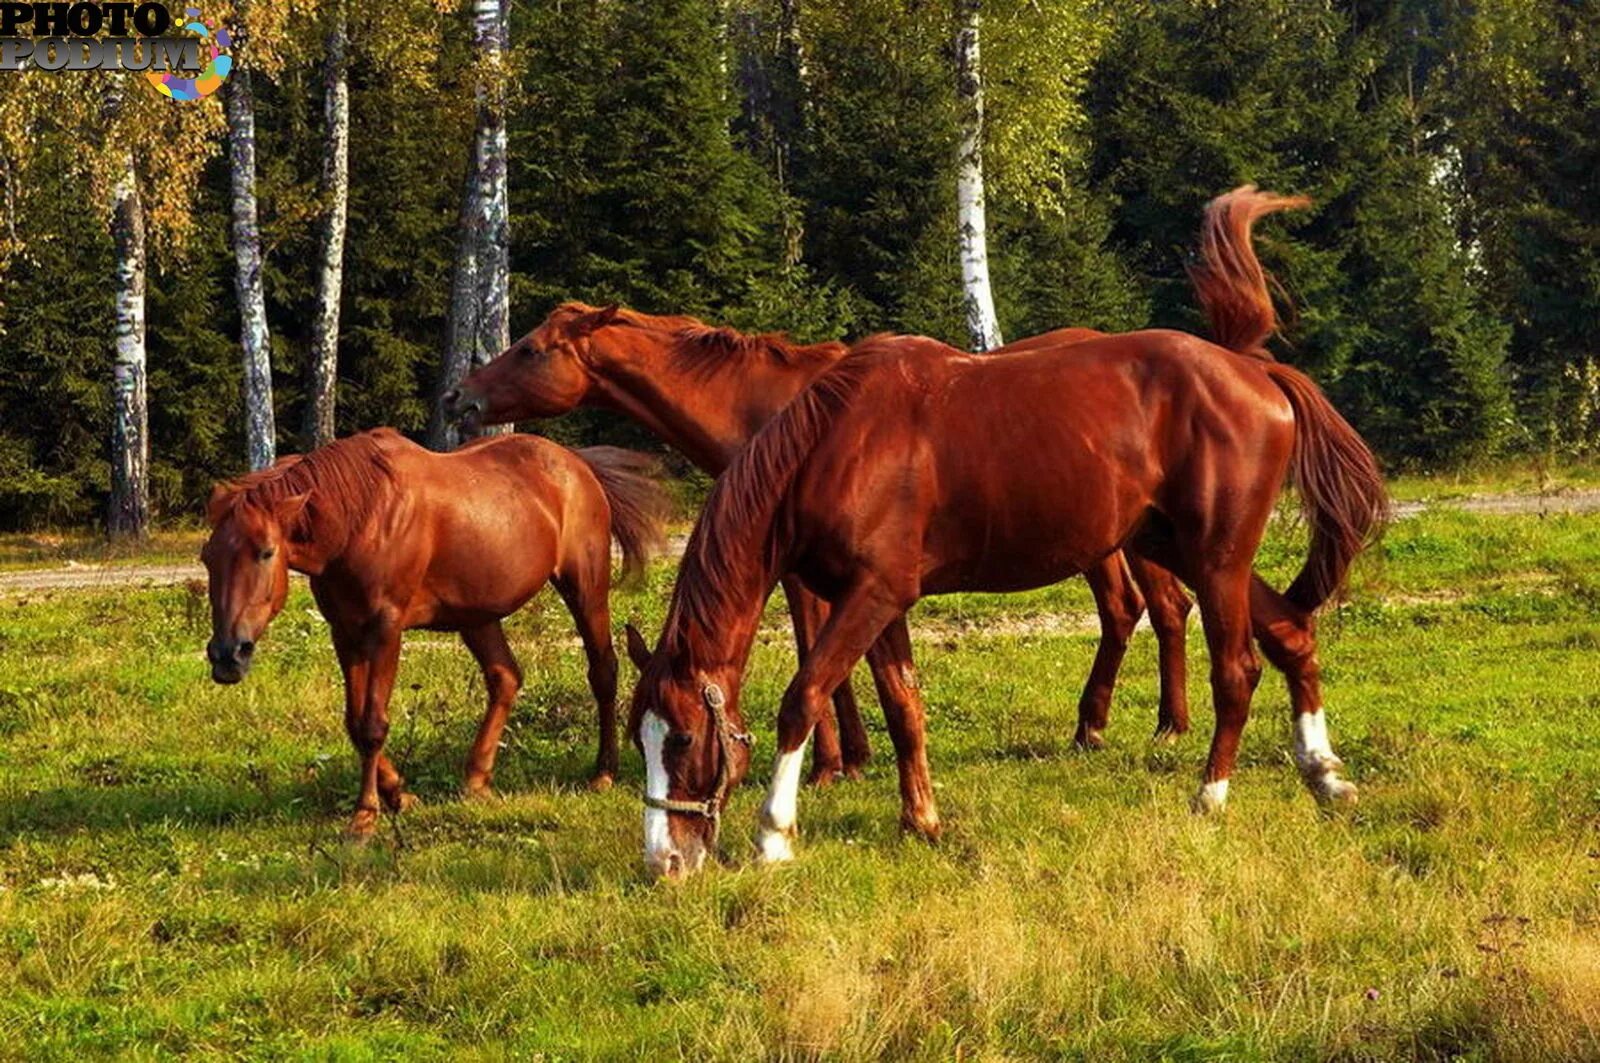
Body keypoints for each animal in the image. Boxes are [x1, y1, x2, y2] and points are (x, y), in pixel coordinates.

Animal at [201, 429, 668, 832]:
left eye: (266, 552)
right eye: (207, 557)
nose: (227, 655)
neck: (361, 518)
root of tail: (577, 465)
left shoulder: (385, 630)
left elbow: (371, 724)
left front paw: (365, 815)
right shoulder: (345, 632)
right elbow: (354, 722)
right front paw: (398, 795)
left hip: (584, 587)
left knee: (603, 671)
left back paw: (603, 773)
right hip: (477, 615)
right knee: (505, 678)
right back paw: (477, 779)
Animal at [441, 186, 1312, 778]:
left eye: (530, 347)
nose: (460, 397)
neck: (767, 405)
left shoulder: (800, 568)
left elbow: (817, 654)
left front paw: (834, 759)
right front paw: (854, 754)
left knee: (1144, 609)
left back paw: (1132, 724)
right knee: (1158, 609)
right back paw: (1140, 722)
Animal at [624, 195, 1388, 877]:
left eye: (683, 737)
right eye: (638, 736)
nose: (665, 862)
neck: (834, 446)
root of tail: (1254, 371)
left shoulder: (870, 595)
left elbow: (803, 697)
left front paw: (774, 836)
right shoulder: (878, 600)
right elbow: (904, 706)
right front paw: (922, 820)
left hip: (1216, 557)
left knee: (1238, 670)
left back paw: (1211, 795)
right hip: (1181, 548)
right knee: (1291, 633)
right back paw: (1324, 774)